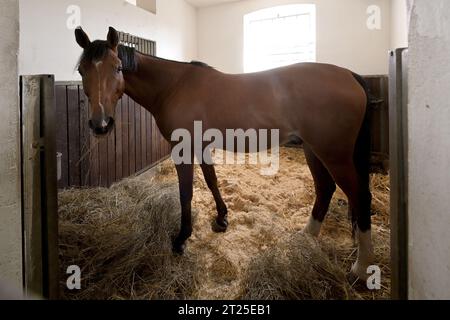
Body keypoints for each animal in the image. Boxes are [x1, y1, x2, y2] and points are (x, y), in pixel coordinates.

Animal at [75, 26, 374, 278]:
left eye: (117, 67)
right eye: (81, 70)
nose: (100, 124)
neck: (173, 86)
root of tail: (349, 75)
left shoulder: (183, 148)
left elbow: (186, 193)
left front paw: (181, 239)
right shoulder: (201, 145)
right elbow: (212, 180)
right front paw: (221, 218)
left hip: (334, 154)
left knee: (359, 197)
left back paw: (361, 268)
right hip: (314, 150)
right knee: (325, 189)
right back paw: (307, 235)